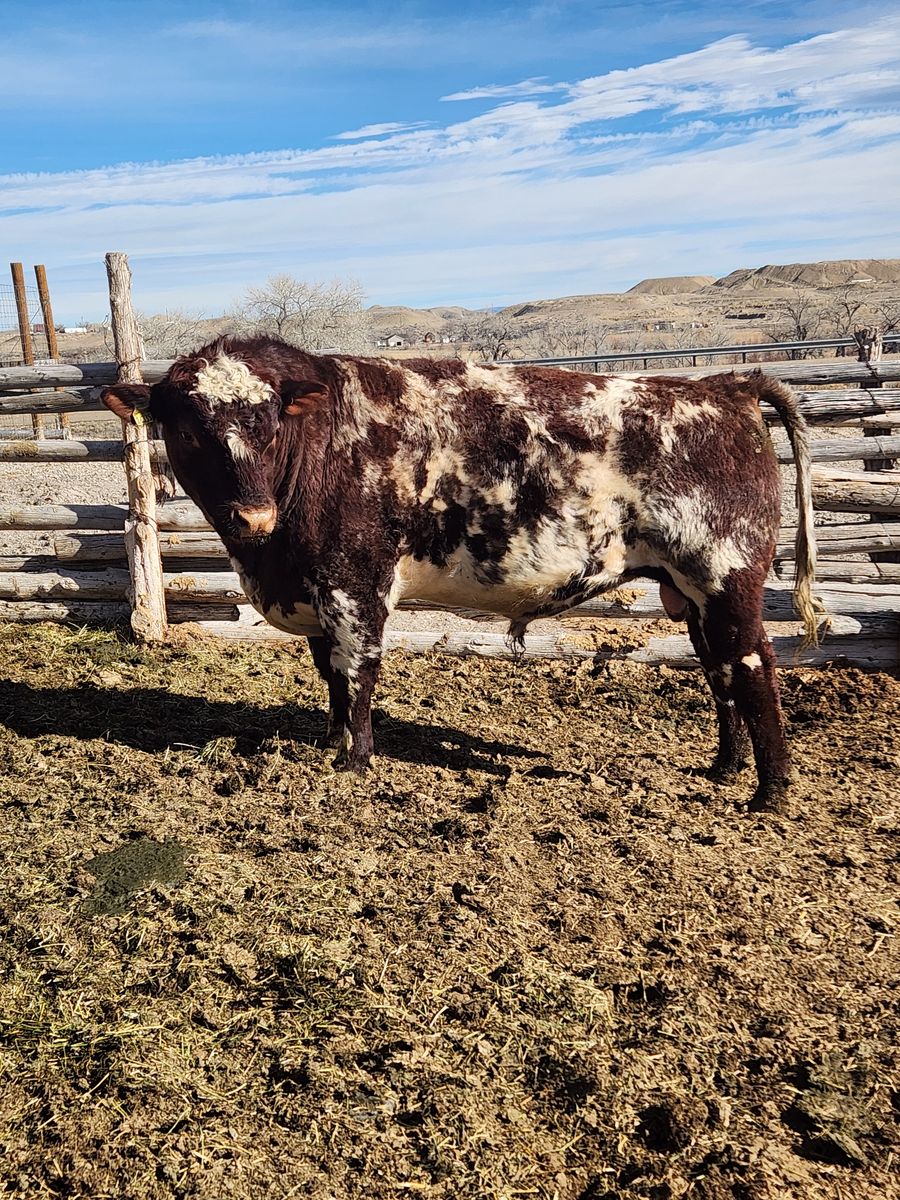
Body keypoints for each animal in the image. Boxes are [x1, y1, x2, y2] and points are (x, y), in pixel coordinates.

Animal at [103, 336, 820, 811]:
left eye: (271, 423)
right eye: (188, 433)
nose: (253, 515)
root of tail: (723, 387)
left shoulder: (356, 584)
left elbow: (358, 673)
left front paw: (354, 760)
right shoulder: (315, 596)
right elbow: (330, 676)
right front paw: (330, 741)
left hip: (726, 577)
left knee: (753, 667)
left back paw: (770, 793)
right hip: (690, 593)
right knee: (718, 670)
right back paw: (724, 767)